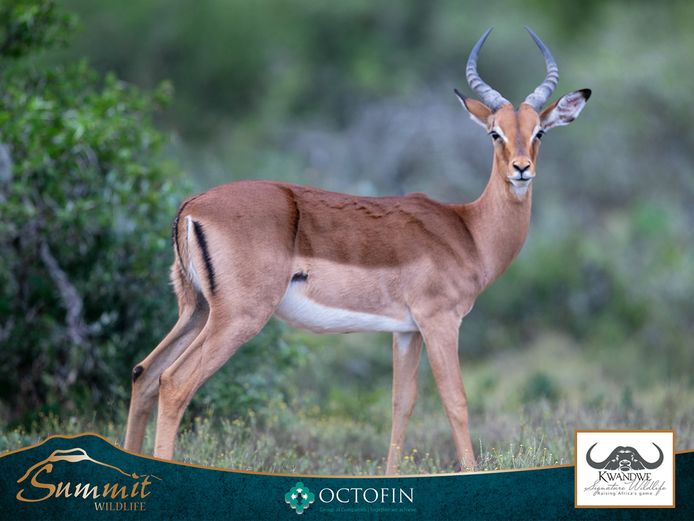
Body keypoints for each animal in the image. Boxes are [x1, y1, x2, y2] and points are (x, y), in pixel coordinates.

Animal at [124, 27, 590, 474]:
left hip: (196, 309)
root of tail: (191, 206)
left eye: (539, 132)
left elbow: (402, 404)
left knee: (144, 373)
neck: (468, 229)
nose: (521, 169)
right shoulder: (440, 321)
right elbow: (455, 401)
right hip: (238, 317)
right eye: (495, 133)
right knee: (175, 382)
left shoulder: (406, 331)